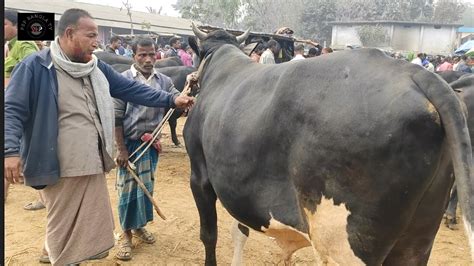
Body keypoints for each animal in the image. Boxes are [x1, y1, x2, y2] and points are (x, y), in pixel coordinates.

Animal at [183, 28, 472, 264]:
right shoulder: (235, 186)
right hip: (418, 236)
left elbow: (209, 234)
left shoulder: (200, 176)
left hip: (343, 243)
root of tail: (414, 74)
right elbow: (239, 230)